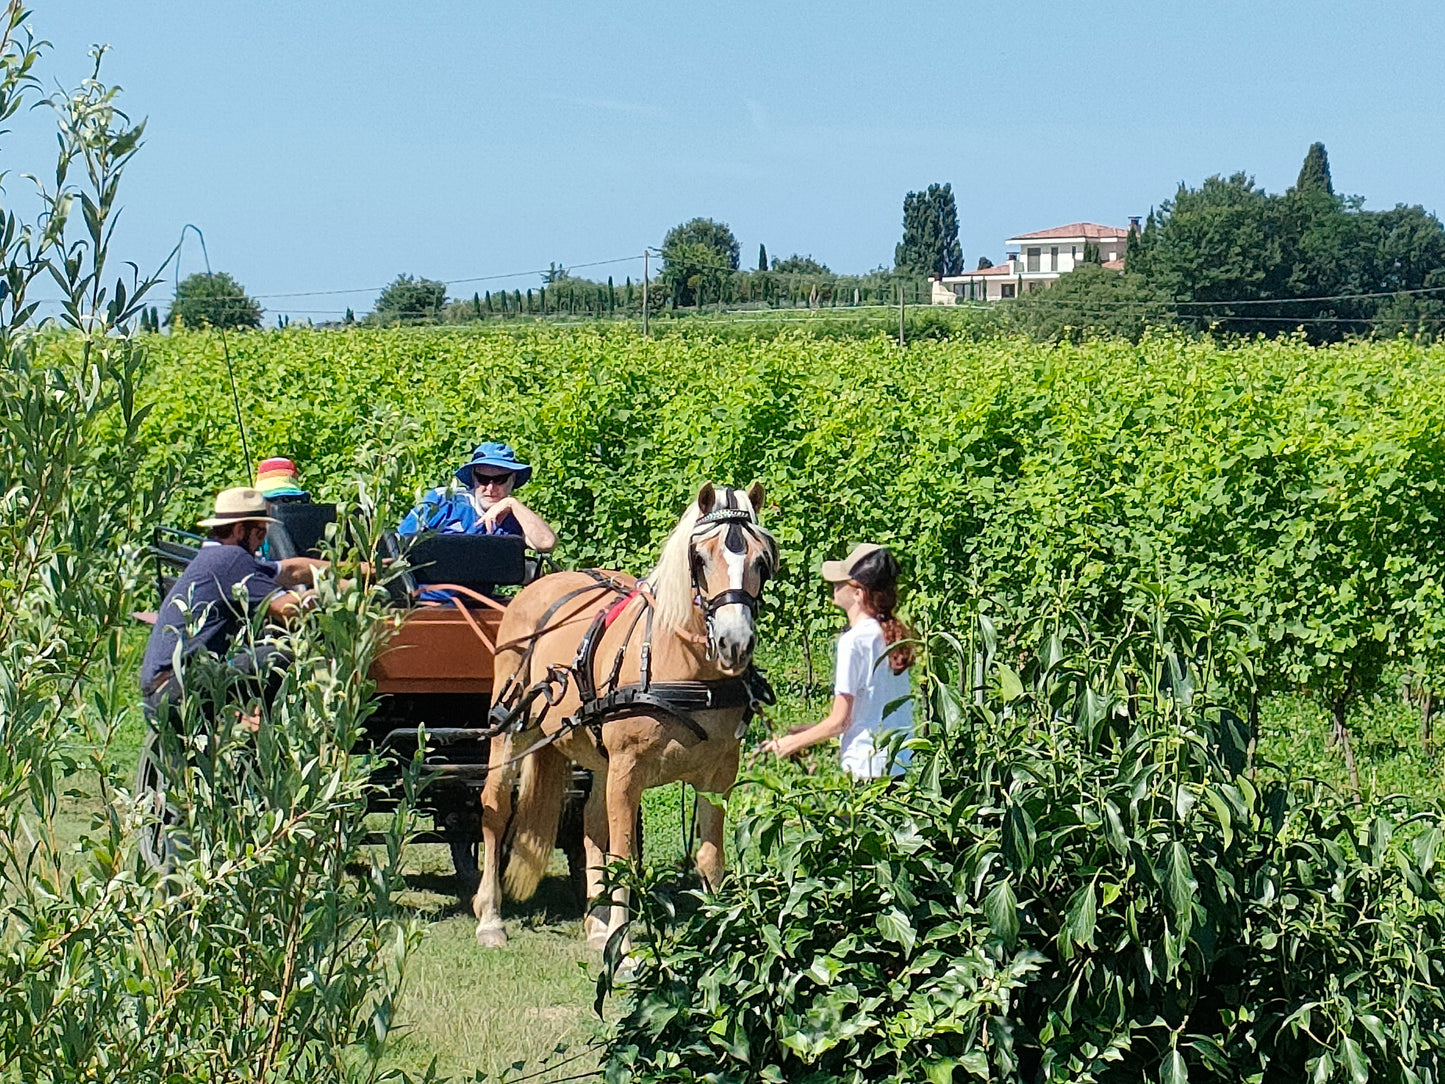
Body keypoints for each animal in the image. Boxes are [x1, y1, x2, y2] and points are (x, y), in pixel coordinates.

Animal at [471, 482, 780, 948]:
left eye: (762, 560)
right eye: (700, 558)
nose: (735, 642)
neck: (686, 670)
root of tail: (541, 583)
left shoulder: (720, 772)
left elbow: (710, 857)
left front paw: (719, 938)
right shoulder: (628, 769)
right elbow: (625, 860)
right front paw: (626, 947)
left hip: (600, 758)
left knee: (591, 824)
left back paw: (597, 923)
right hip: (511, 727)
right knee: (495, 808)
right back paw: (490, 917)